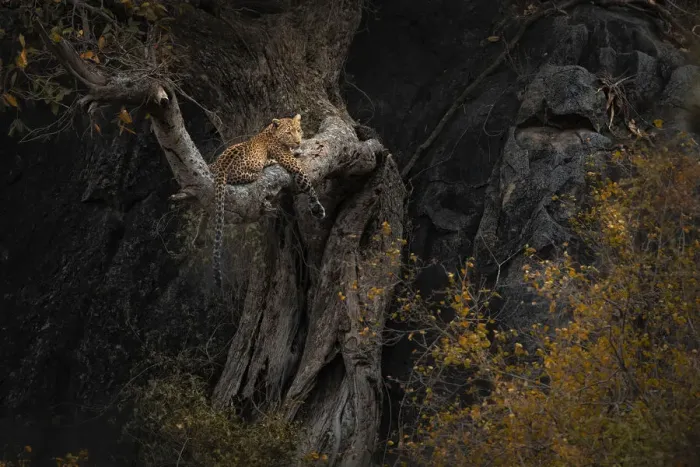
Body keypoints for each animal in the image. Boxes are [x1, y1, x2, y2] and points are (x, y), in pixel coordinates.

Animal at [209, 113, 326, 288]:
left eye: (298, 130)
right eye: (289, 132)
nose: (298, 141)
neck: (270, 131)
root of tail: (221, 167)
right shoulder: (293, 164)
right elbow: (308, 185)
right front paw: (317, 207)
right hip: (253, 169)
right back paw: (270, 162)